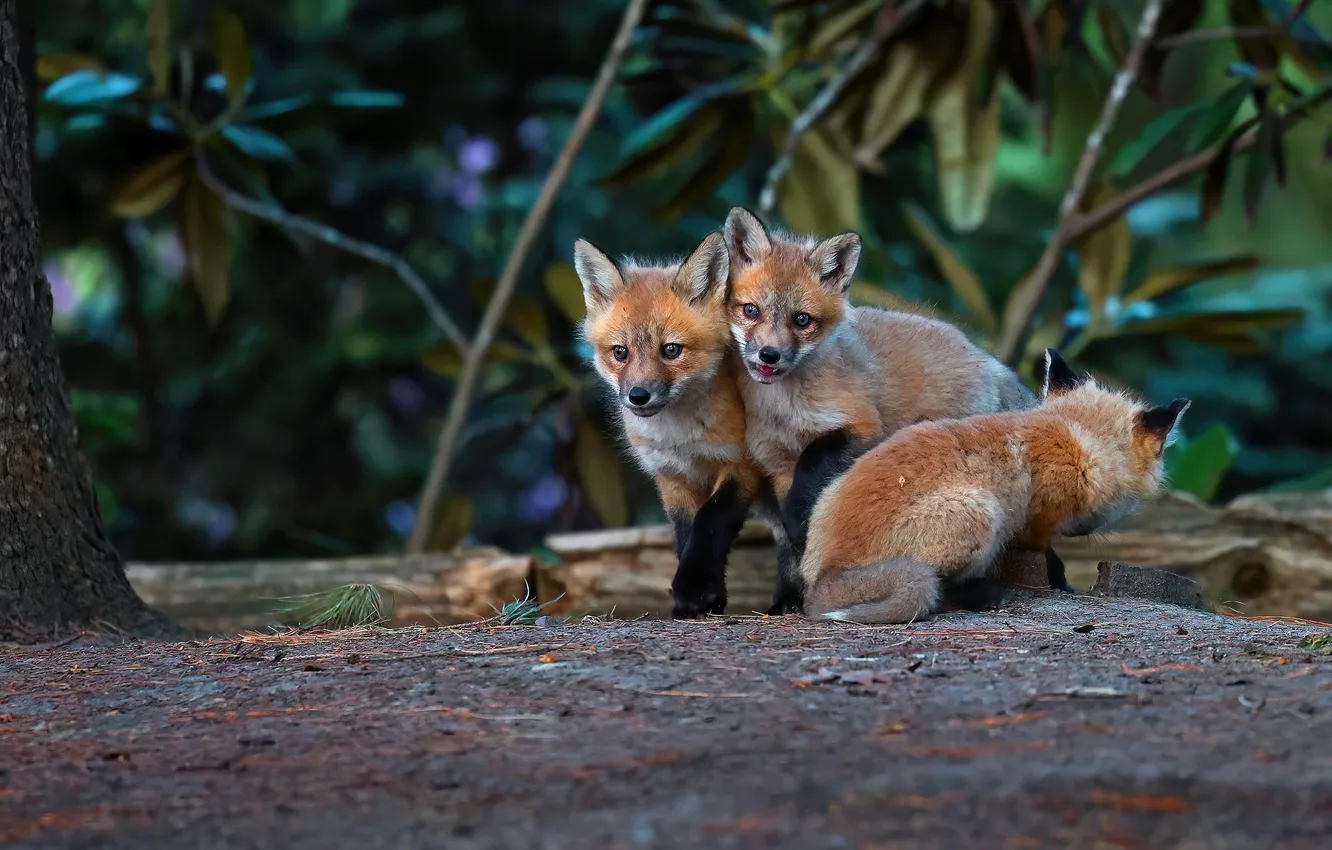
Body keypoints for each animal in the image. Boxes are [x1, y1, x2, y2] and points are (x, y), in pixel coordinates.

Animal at [574, 231, 793, 619]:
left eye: (671, 350)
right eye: (620, 352)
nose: (638, 396)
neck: (683, 438)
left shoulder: (741, 466)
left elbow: (711, 521)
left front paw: (694, 589)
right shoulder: (671, 475)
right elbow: (686, 533)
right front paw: (701, 601)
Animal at [720, 206, 1040, 614]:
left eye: (801, 319)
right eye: (751, 311)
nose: (769, 355)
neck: (786, 411)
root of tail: (985, 358)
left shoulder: (859, 426)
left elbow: (811, 474)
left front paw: (800, 534)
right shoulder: (777, 464)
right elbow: (790, 550)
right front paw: (788, 598)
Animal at [799, 349, 1191, 624]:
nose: (1084, 530)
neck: (1075, 434)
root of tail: (827, 571)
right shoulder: (1036, 520)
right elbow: (1046, 555)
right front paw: (1059, 582)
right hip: (980, 512)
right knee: (940, 588)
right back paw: (980, 597)